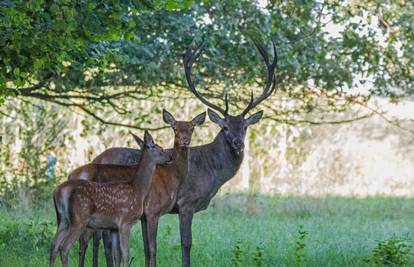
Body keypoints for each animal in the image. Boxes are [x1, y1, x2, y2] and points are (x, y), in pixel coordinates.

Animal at [49, 132, 171, 267]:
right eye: (161, 149)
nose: (170, 157)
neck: (138, 189)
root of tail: (58, 191)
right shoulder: (125, 221)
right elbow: (126, 254)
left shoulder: (113, 227)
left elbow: (117, 255)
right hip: (79, 219)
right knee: (64, 247)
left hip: (63, 219)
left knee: (54, 245)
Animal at [73, 110, 207, 267]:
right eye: (175, 128)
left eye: (192, 128)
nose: (185, 140)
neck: (171, 178)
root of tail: (73, 174)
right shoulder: (153, 210)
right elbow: (153, 247)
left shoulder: (143, 216)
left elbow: (146, 248)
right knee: (83, 240)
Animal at [92, 39, 276, 267]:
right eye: (225, 127)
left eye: (244, 127)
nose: (238, 143)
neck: (212, 173)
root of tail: (96, 158)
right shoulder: (186, 203)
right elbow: (186, 243)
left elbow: (148, 248)